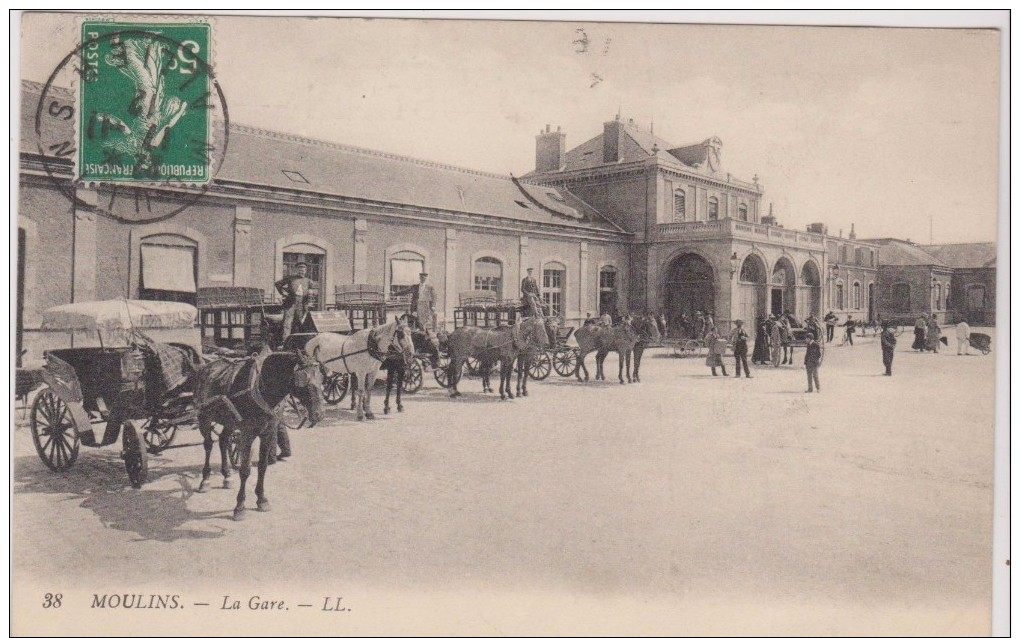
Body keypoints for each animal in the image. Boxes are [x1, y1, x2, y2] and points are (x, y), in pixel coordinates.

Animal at [194, 349, 326, 518]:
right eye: (303, 380)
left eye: (321, 377)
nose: (319, 414)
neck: (262, 389)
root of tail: (206, 366)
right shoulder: (247, 434)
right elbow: (245, 470)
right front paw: (240, 506)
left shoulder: (268, 433)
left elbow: (263, 467)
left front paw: (261, 499)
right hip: (203, 416)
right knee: (208, 445)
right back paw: (205, 480)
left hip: (229, 420)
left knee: (223, 441)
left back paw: (227, 476)